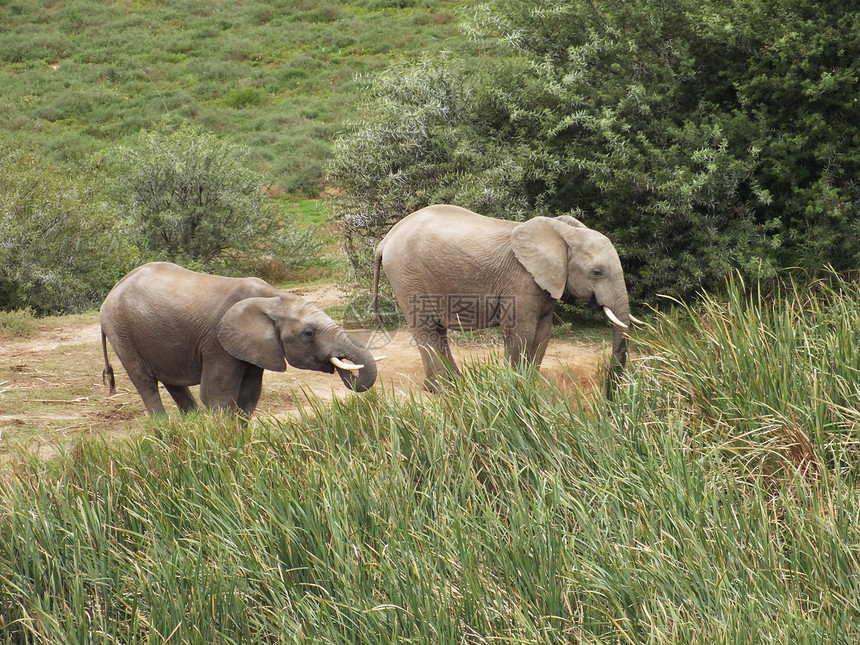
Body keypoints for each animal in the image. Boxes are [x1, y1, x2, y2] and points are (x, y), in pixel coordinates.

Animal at [100, 262, 376, 418]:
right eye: (309, 333)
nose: (343, 365)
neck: (273, 297)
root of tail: (110, 293)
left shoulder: (255, 348)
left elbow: (248, 397)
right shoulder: (218, 342)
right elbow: (217, 396)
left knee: (173, 383)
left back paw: (190, 427)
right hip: (121, 333)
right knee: (146, 383)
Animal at [372, 206, 640, 398]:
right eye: (597, 272)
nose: (609, 397)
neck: (563, 234)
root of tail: (385, 240)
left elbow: (542, 333)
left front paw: (529, 386)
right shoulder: (521, 279)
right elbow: (521, 332)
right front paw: (515, 389)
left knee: (437, 330)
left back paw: (450, 385)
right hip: (407, 275)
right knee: (426, 330)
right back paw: (444, 390)